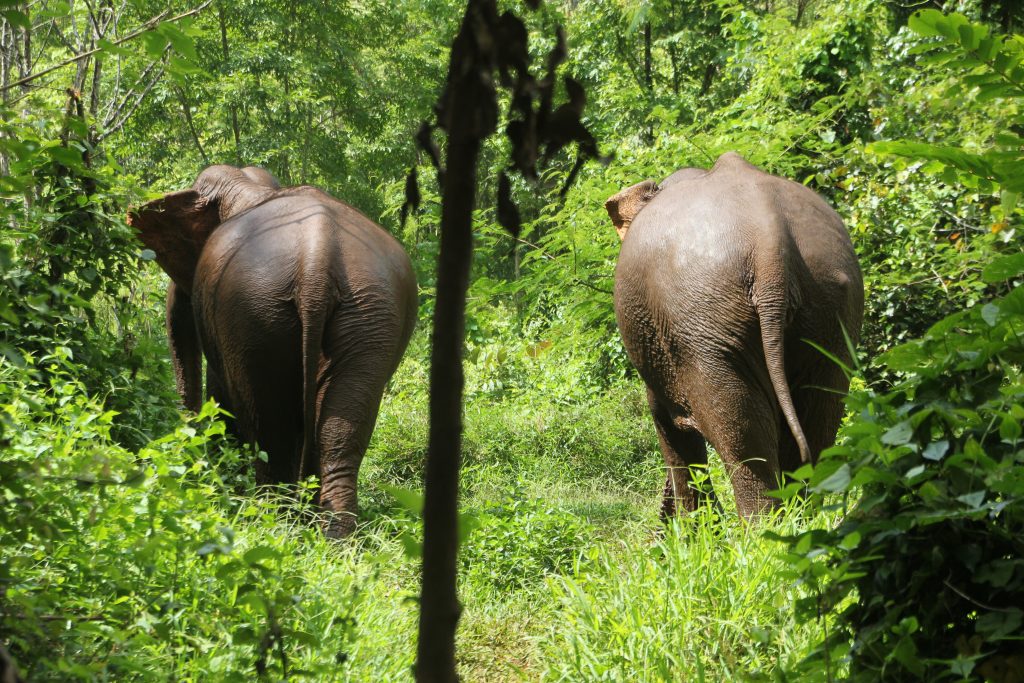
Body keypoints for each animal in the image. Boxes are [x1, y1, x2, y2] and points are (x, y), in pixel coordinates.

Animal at [128, 165, 415, 540]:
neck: (250, 186)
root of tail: (317, 258)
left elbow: (223, 399)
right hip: (369, 312)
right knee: (339, 436)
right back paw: (332, 538)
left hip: (254, 308)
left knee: (269, 431)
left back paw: (276, 525)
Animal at [606, 152, 864, 520]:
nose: (661, 524)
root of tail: (770, 243)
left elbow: (667, 425)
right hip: (830, 308)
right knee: (821, 416)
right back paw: (802, 518)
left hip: (703, 319)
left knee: (741, 433)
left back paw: (763, 528)